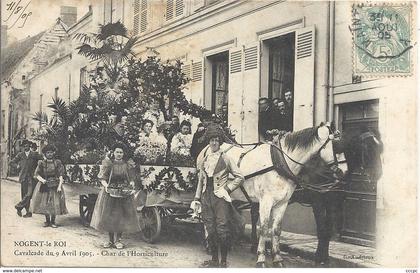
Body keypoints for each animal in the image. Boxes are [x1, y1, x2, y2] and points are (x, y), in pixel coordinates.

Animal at [197, 122, 338, 266]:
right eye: (332, 144)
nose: (337, 169)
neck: (279, 163)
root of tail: (206, 148)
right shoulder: (266, 201)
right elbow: (264, 229)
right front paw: (261, 258)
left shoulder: (283, 202)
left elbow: (276, 229)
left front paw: (277, 258)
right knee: (207, 218)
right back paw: (210, 245)